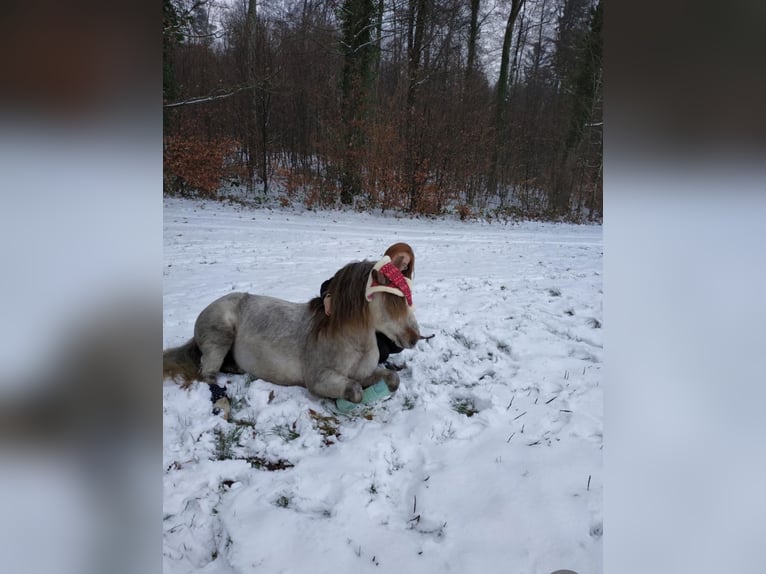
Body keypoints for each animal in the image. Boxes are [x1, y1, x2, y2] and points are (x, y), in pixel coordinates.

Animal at [164, 245, 424, 412]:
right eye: (392, 302)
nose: (415, 338)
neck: (351, 342)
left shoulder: (365, 372)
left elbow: (392, 379)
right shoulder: (320, 379)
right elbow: (355, 391)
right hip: (220, 337)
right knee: (208, 375)